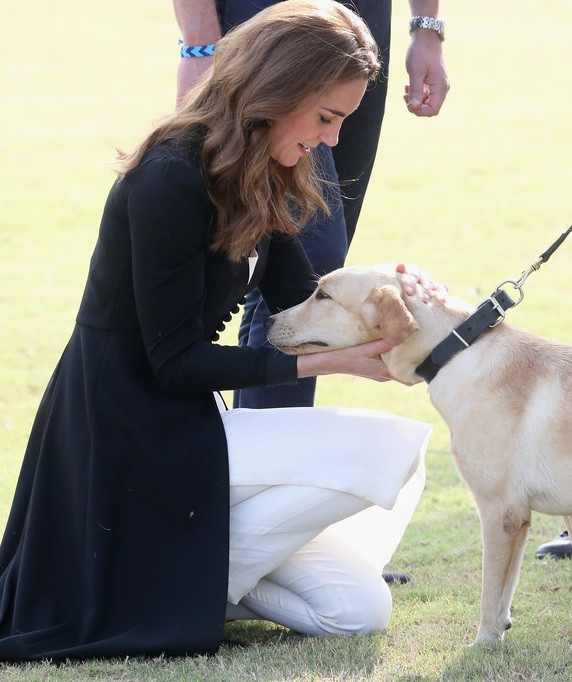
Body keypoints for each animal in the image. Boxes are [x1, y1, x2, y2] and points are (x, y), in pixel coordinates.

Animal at [266, 262, 568, 640]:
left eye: (324, 296)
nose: (268, 321)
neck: (456, 351)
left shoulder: (503, 513)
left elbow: (491, 593)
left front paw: (484, 641)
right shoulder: (524, 518)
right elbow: (505, 591)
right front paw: (499, 630)